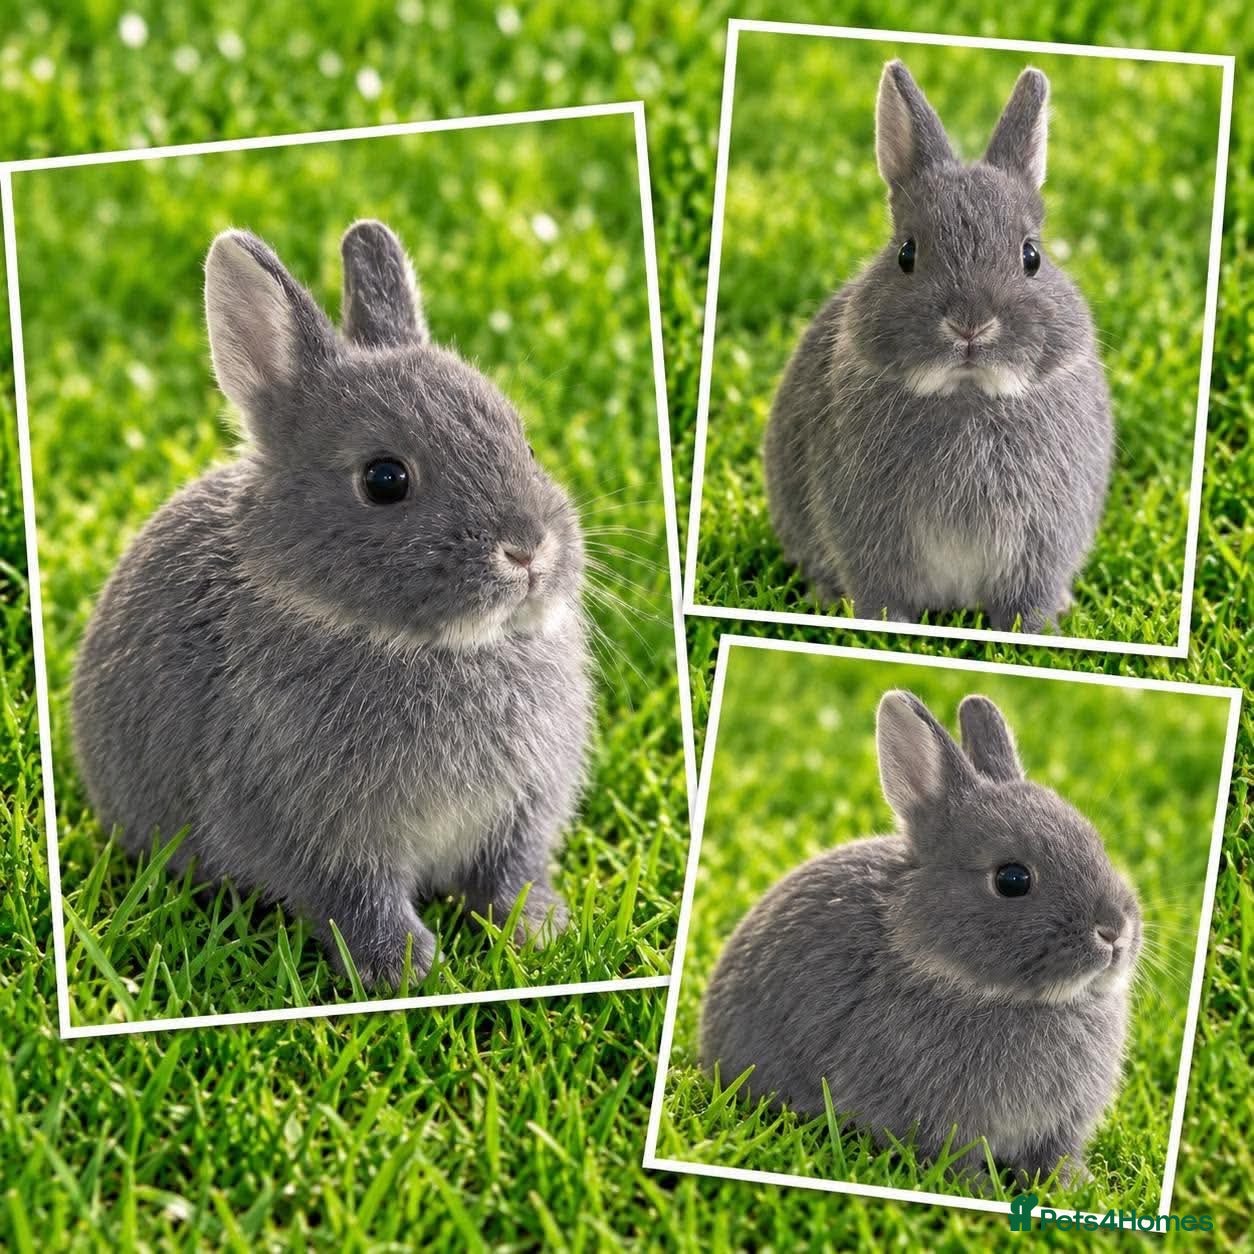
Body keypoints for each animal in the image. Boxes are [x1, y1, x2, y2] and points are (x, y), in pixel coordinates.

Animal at [71, 220, 592, 989]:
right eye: (384, 479)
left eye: (524, 442)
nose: (527, 550)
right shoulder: (323, 834)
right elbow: (355, 897)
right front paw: (404, 969)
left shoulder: (518, 813)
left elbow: (508, 876)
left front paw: (542, 931)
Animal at [700, 691, 1140, 1186]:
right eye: (1012, 879)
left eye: (1097, 845)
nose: (1114, 932)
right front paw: (978, 1189)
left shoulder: (1059, 1127)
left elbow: (1055, 1156)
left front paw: (1073, 1187)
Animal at [764, 62, 1113, 632]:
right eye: (907, 254)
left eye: (1031, 256)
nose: (970, 325)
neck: (967, 391)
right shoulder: (868, 526)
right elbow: (882, 589)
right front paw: (887, 629)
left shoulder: (1043, 535)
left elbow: (1029, 595)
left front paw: (1034, 631)